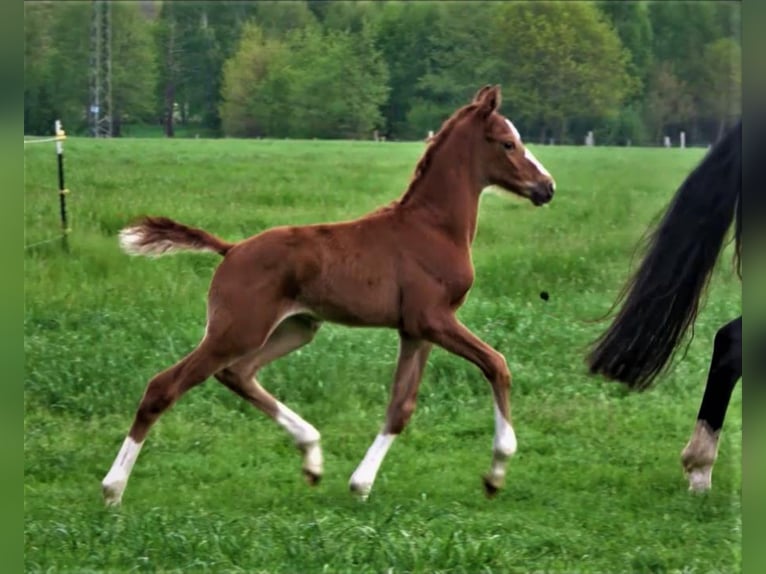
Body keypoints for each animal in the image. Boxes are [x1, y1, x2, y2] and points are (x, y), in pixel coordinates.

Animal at [102, 83, 560, 506]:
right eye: (508, 143)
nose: (547, 187)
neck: (433, 227)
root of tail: (230, 250)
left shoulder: (415, 329)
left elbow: (401, 406)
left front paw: (360, 483)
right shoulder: (434, 318)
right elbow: (497, 365)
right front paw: (496, 472)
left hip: (295, 328)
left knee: (238, 373)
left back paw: (312, 454)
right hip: (238, 329)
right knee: (164, 386)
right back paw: (113, 488)